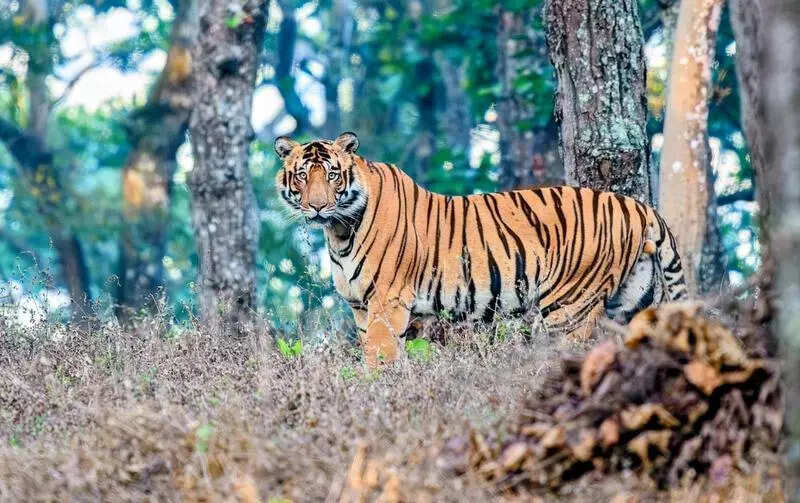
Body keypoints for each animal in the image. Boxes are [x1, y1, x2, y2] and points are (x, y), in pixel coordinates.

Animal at [274, 132, 688, 367]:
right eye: (302, 175)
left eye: (332, 174)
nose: (316, 207)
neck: (339, 229)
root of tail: (637, 206)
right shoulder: (361, 307)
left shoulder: (385, 303)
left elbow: (381, 357)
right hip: (634, 299)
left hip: (568, 307)